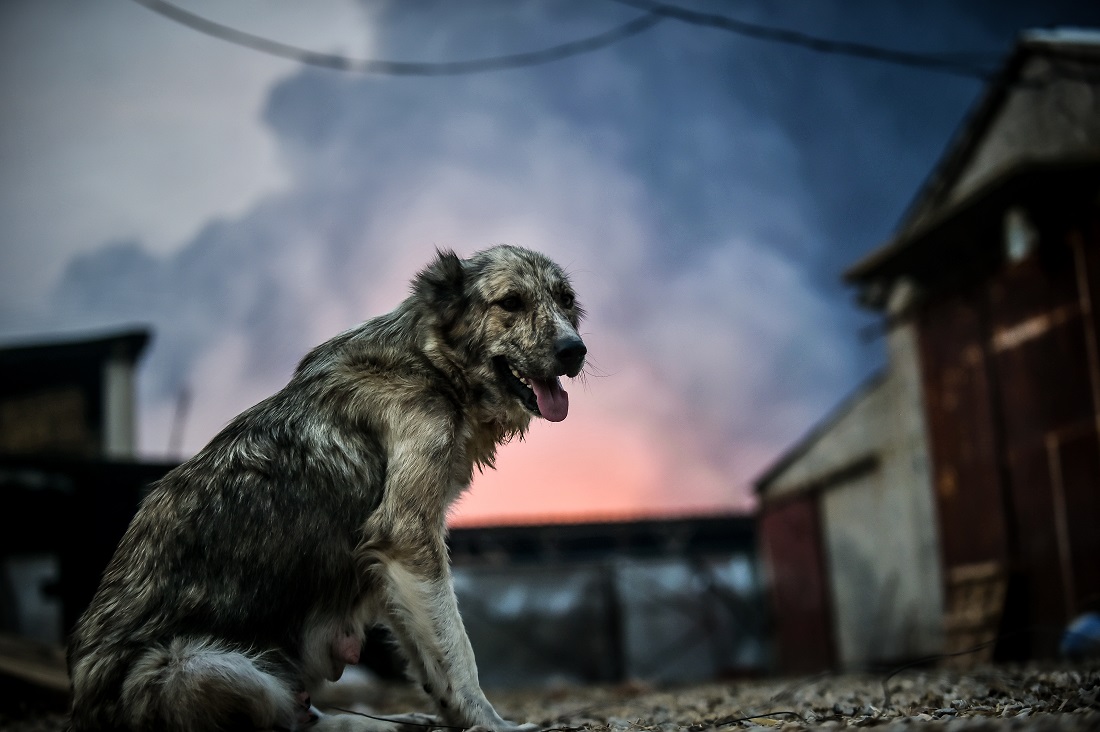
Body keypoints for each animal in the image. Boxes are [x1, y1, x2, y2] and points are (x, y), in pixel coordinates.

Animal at [67, 245, 585, 730]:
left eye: (565, 299)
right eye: (511, 302)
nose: (574, 350)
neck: (429, 363)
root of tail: (81, 712)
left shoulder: (389, 562)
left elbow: (430, 659)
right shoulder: (407, 538)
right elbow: (457, 654)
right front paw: (491, 723)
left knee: (302, 714)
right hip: (196, 666)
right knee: (283, 721)